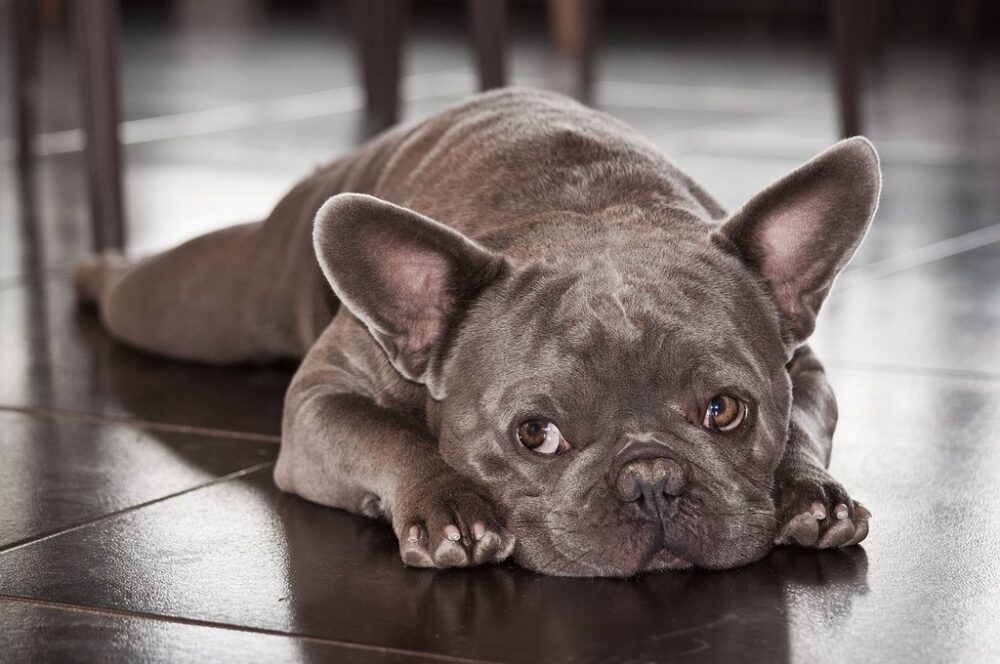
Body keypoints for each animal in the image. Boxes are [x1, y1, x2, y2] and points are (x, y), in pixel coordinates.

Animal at [78, 87, 876, 576]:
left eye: (724, 411)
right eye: (536, 435)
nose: (652, 481)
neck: (584, 214)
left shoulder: (807, 370)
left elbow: (803, 425)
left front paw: (811, 492)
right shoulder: (317, 406)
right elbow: (388, 435)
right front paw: (448, 507)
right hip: (213, 303)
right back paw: (92, 271)